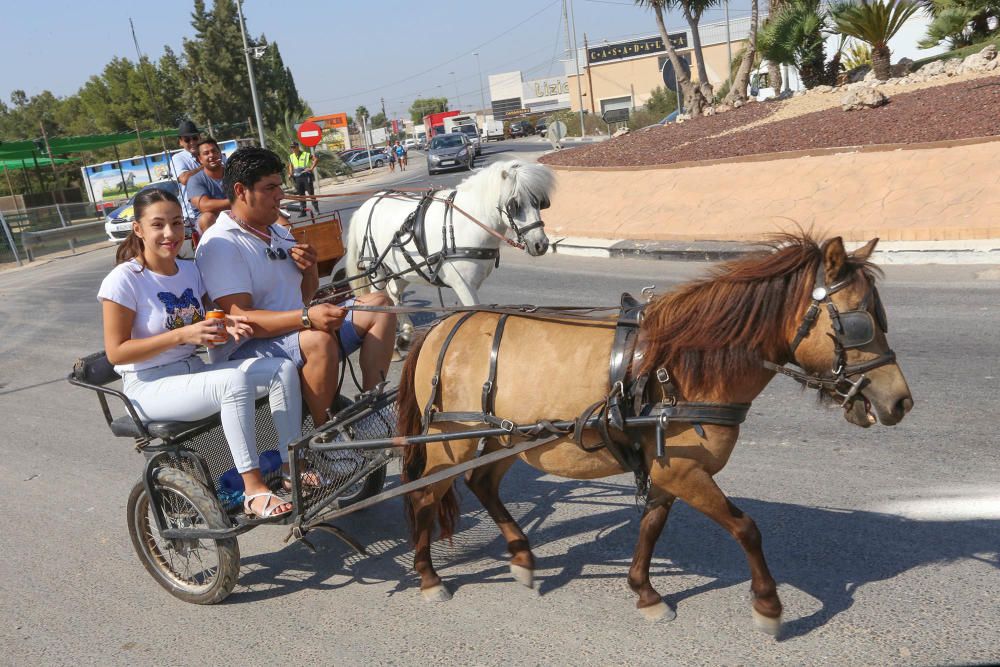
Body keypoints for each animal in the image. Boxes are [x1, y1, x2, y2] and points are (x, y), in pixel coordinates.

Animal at [340, 162, 552, 310]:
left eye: (540, 202)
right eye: (514, 205)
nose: (540, 244)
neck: (466, 222)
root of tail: (368, 204)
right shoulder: (463, 284)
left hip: (402, 268)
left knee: (393, 294)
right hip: (377, 269)